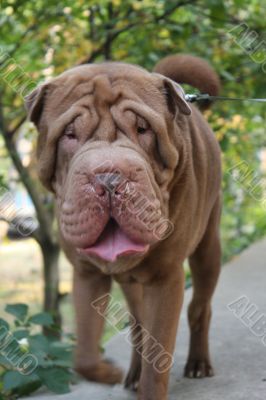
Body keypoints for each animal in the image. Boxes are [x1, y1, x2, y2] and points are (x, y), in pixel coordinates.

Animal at [25, 54, 220, 400]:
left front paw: (149, 386)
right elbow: (85, 356)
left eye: (143, 129)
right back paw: (132, 373)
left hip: (208, 249)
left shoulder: (165, 278)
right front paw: (108, 372)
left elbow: (159, 357)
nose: (109, 178)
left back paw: (198, 363)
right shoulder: (86, 274)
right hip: (131, 283)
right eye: (69, 134)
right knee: (139, 323)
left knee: (200, 307)